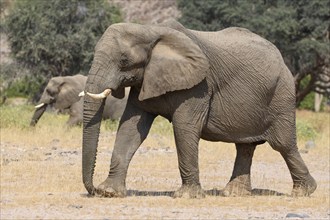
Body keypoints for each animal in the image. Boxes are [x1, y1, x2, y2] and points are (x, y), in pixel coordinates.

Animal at [80, 20, 318, 199]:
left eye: (124, 60)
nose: (93, 190)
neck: (150, 30)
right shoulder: (144, 81)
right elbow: (130, 129)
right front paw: (110, 192)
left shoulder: (199, 85)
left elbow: (184, 127)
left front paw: (186, 196)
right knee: (245, 146)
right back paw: (233, 193)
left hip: (281, 95)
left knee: (282, 144)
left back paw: (304, 191)